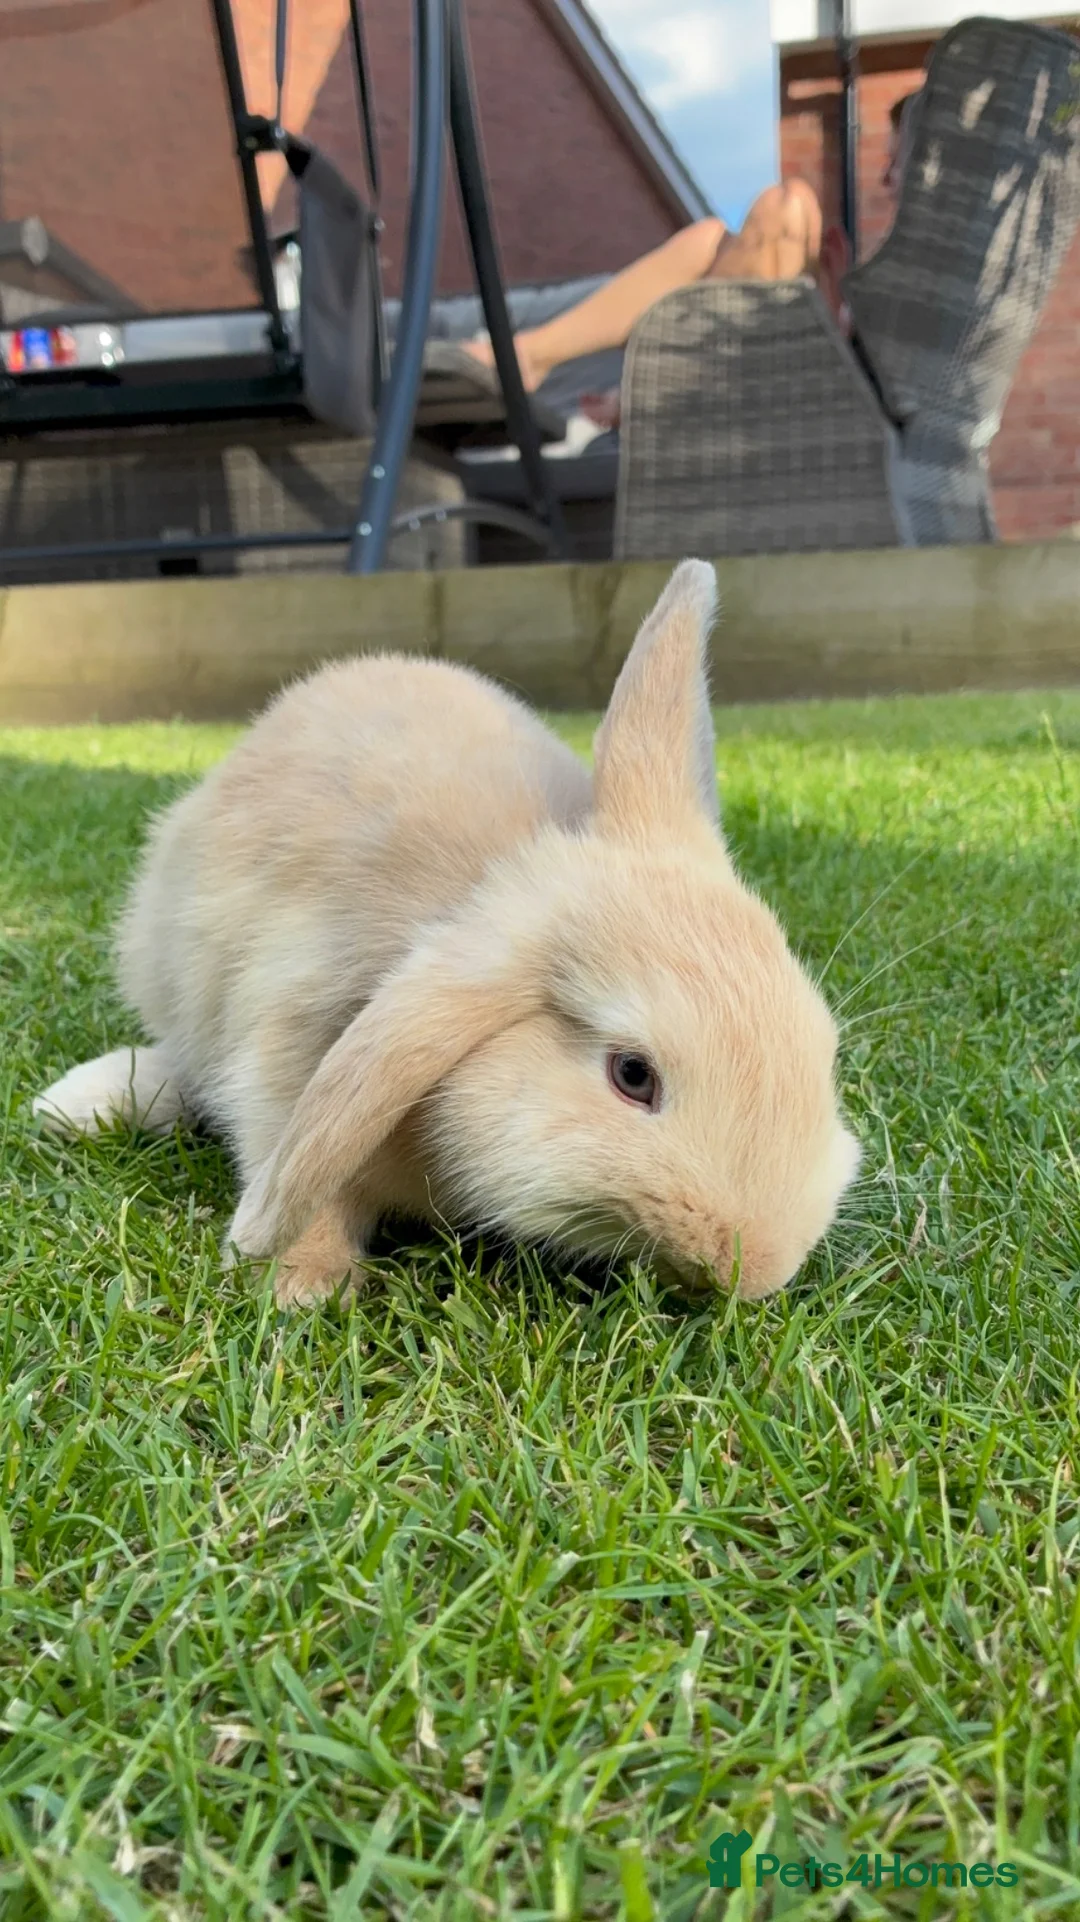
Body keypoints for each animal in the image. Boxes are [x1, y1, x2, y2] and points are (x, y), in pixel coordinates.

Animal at [34, 559, 860, 1308]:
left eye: (823, 1053)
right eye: (632, 1075)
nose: (755, 1270)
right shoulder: (285, 1044)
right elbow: (294, 1164)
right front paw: (302, 1285)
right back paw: (77, 1105)